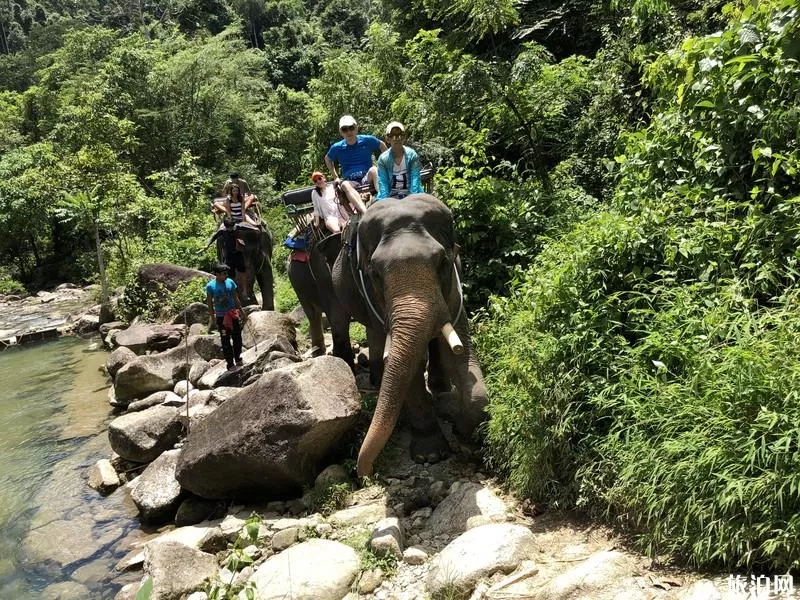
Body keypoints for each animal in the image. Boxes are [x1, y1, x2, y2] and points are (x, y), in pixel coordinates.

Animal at [332, 195, 488, 476]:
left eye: (443, 262)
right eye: (374, 273)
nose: (364, 473)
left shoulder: (454, 286)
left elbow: (457, 351)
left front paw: (460, 427)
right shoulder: (371, 293)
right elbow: (409, 366)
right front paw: (430, 456)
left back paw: (439, 389)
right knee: (363, 328)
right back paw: (378, 379)